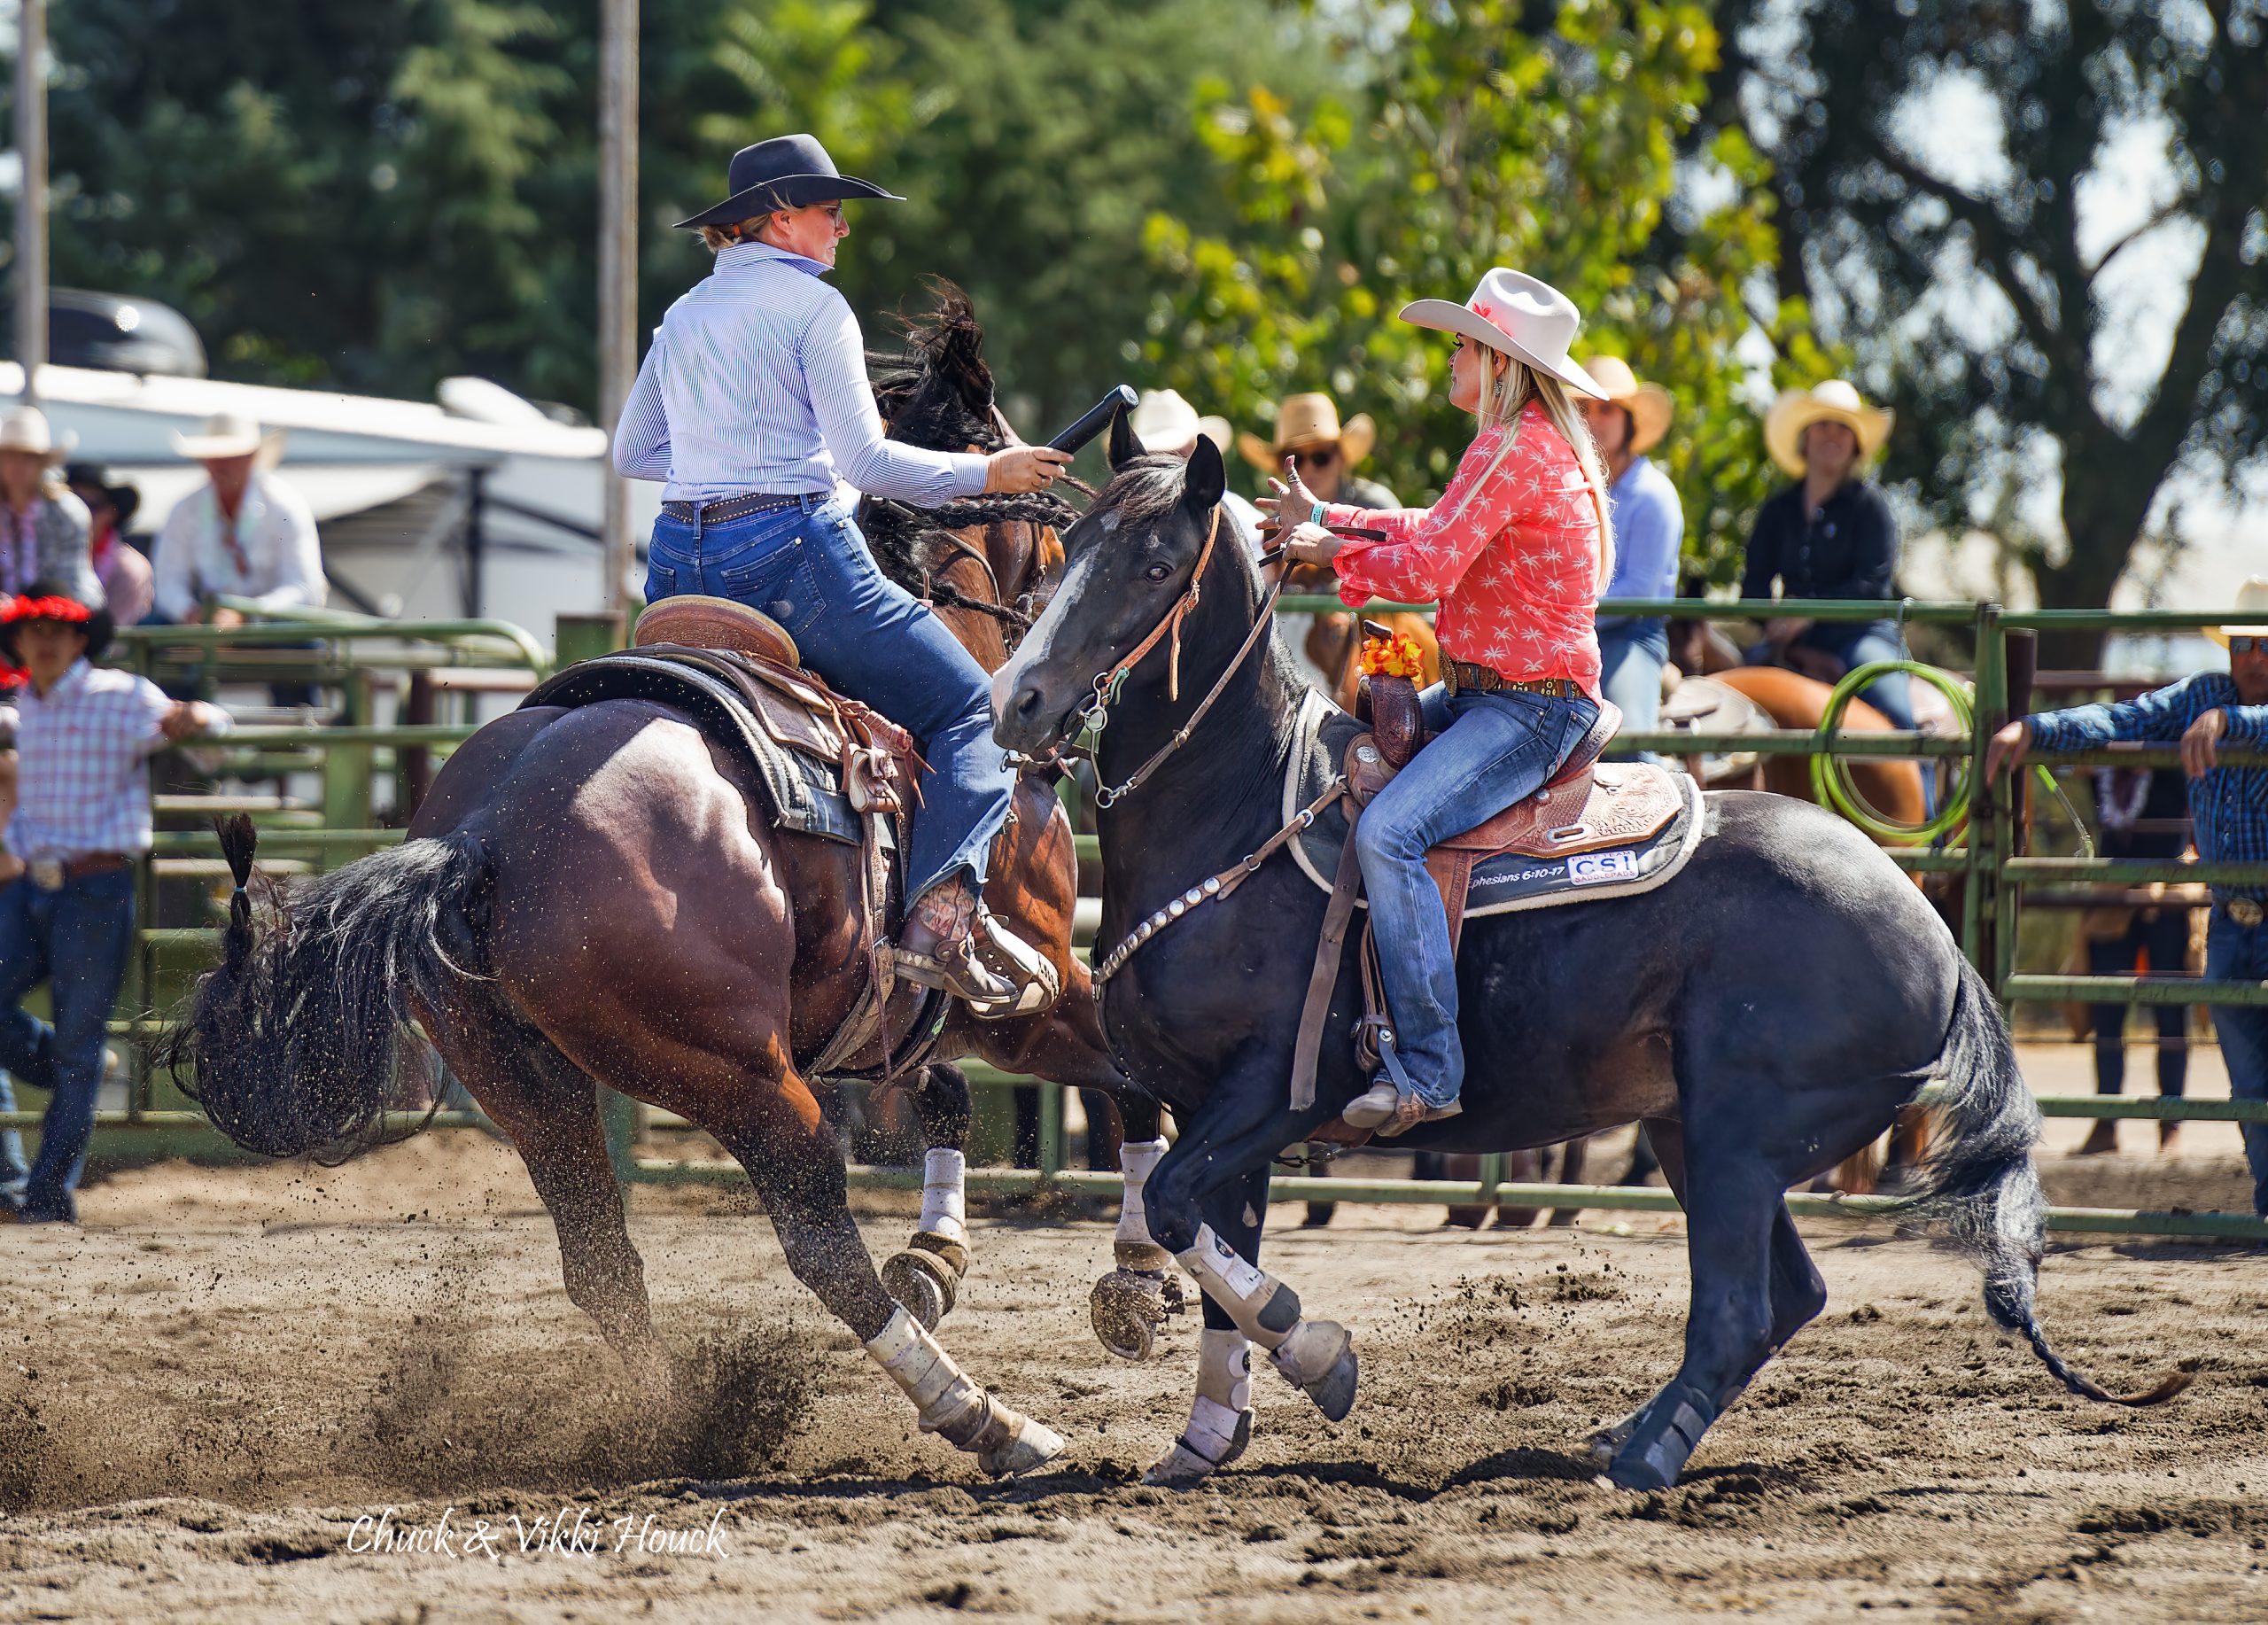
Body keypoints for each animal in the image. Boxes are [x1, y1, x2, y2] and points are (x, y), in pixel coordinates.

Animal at [164, 285, 1134, 1480]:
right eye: (1052, 534)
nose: (1065, 705)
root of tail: (487, 830)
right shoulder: (1037, 986)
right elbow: (1134, 1078)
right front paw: (1136, 1285)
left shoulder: (907, 1016)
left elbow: (948, 1095)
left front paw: (939, 1260)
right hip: (743, 1078)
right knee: (817, 1238)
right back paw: (987, 1420)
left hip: (525, 1079)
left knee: (602, 1261)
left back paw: (668, 1427)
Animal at [993, 435, 2177, 1497]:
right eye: (1067, 544)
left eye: (1154, 564)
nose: (1018, 700)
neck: (1245, 814)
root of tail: (1930, 933)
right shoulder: (1210, 1106)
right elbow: (1202, 1251)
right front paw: (1205, 1439)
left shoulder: (1281, 1088)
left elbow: (1182, 1217)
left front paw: (1315, 1349)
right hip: (1698, 1133)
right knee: (1786, 1297)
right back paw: (1629, 1434)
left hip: (1739, 1136)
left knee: (1739, 1308)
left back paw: (1640, 1463)